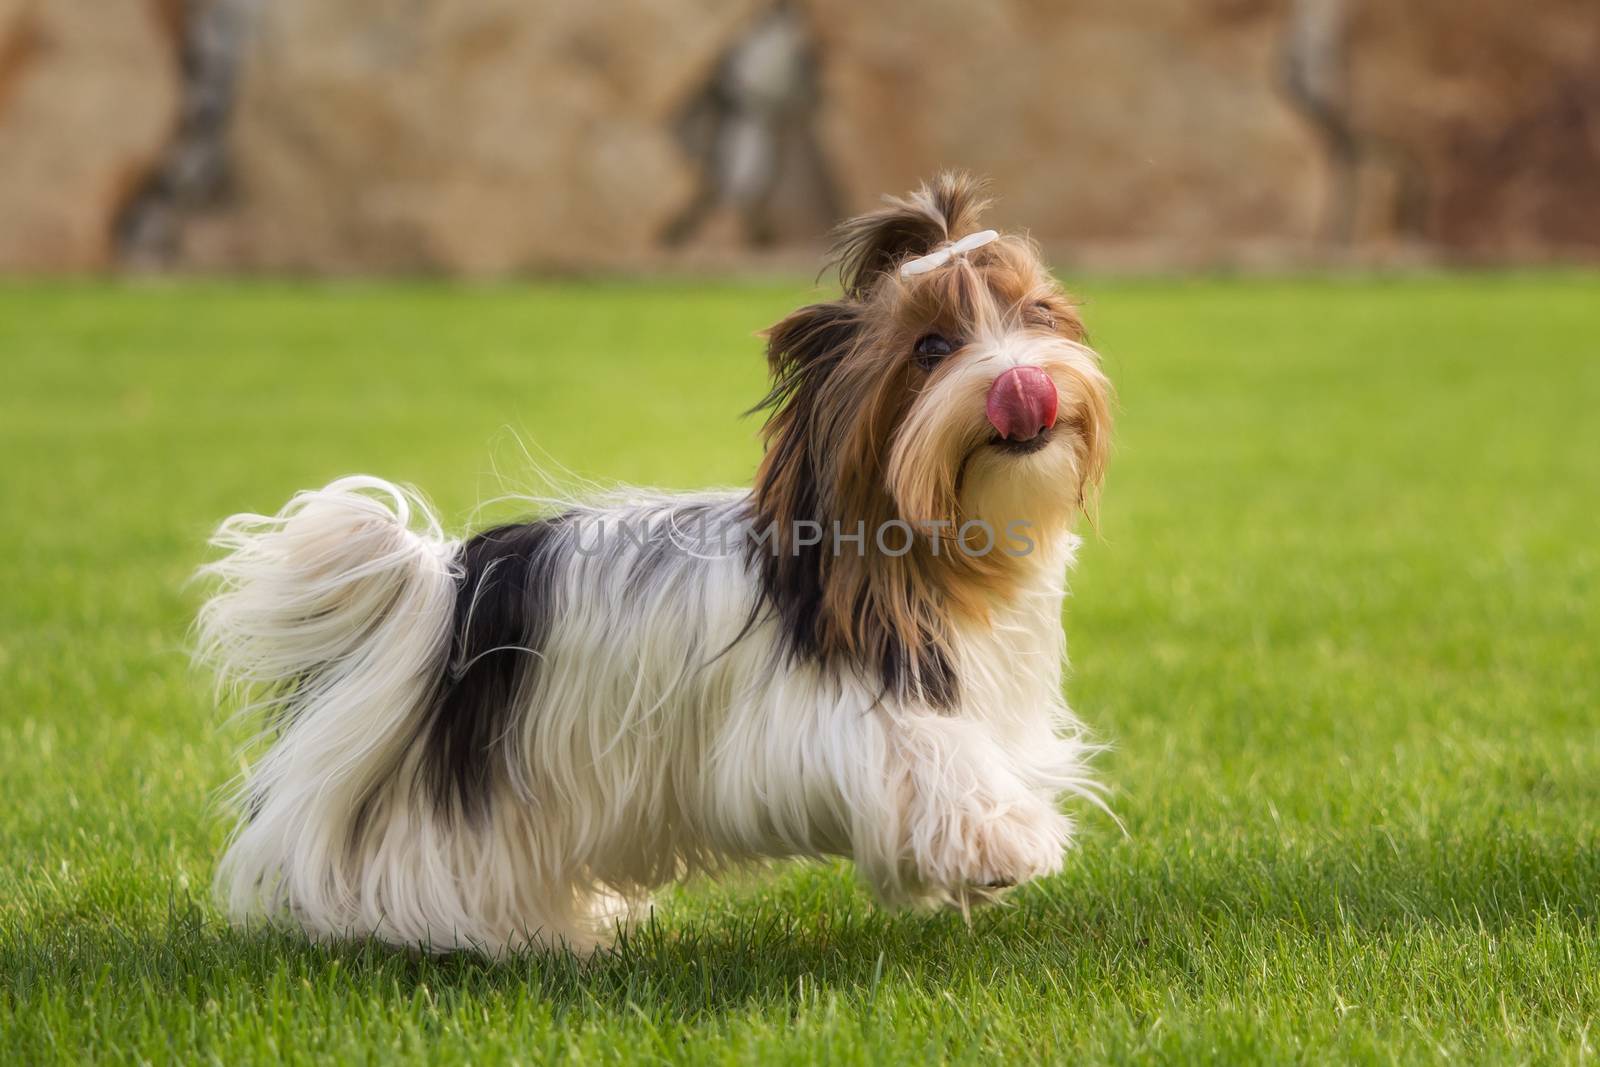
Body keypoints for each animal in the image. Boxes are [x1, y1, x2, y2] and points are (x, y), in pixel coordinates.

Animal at [200, 171, 1113, 953]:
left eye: (1038, 315)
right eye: (930, 347)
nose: (1024, 382)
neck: (928, 555)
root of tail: (445, 587)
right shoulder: (821, 721)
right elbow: (920, 755)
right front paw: (1002, 841)